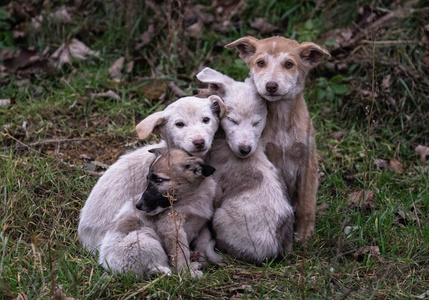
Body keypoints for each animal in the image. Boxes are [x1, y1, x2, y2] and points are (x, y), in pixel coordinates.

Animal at [99, 149, 222, 278]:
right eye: (147, 179)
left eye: (159, 180)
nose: (138, 205)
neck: (192, 199)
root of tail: (110, 267)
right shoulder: (172, 229)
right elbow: (180, 255)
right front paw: (187, 273)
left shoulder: (201, 225)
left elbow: (204, 241)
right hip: (147, 242)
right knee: (165, 268)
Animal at [226, 36, 330, 243]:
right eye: (260, 63)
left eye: (289, 64)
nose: (271, 86)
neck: (282, 119)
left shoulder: (308, 160)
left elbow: (307, 203)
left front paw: (304, 234)